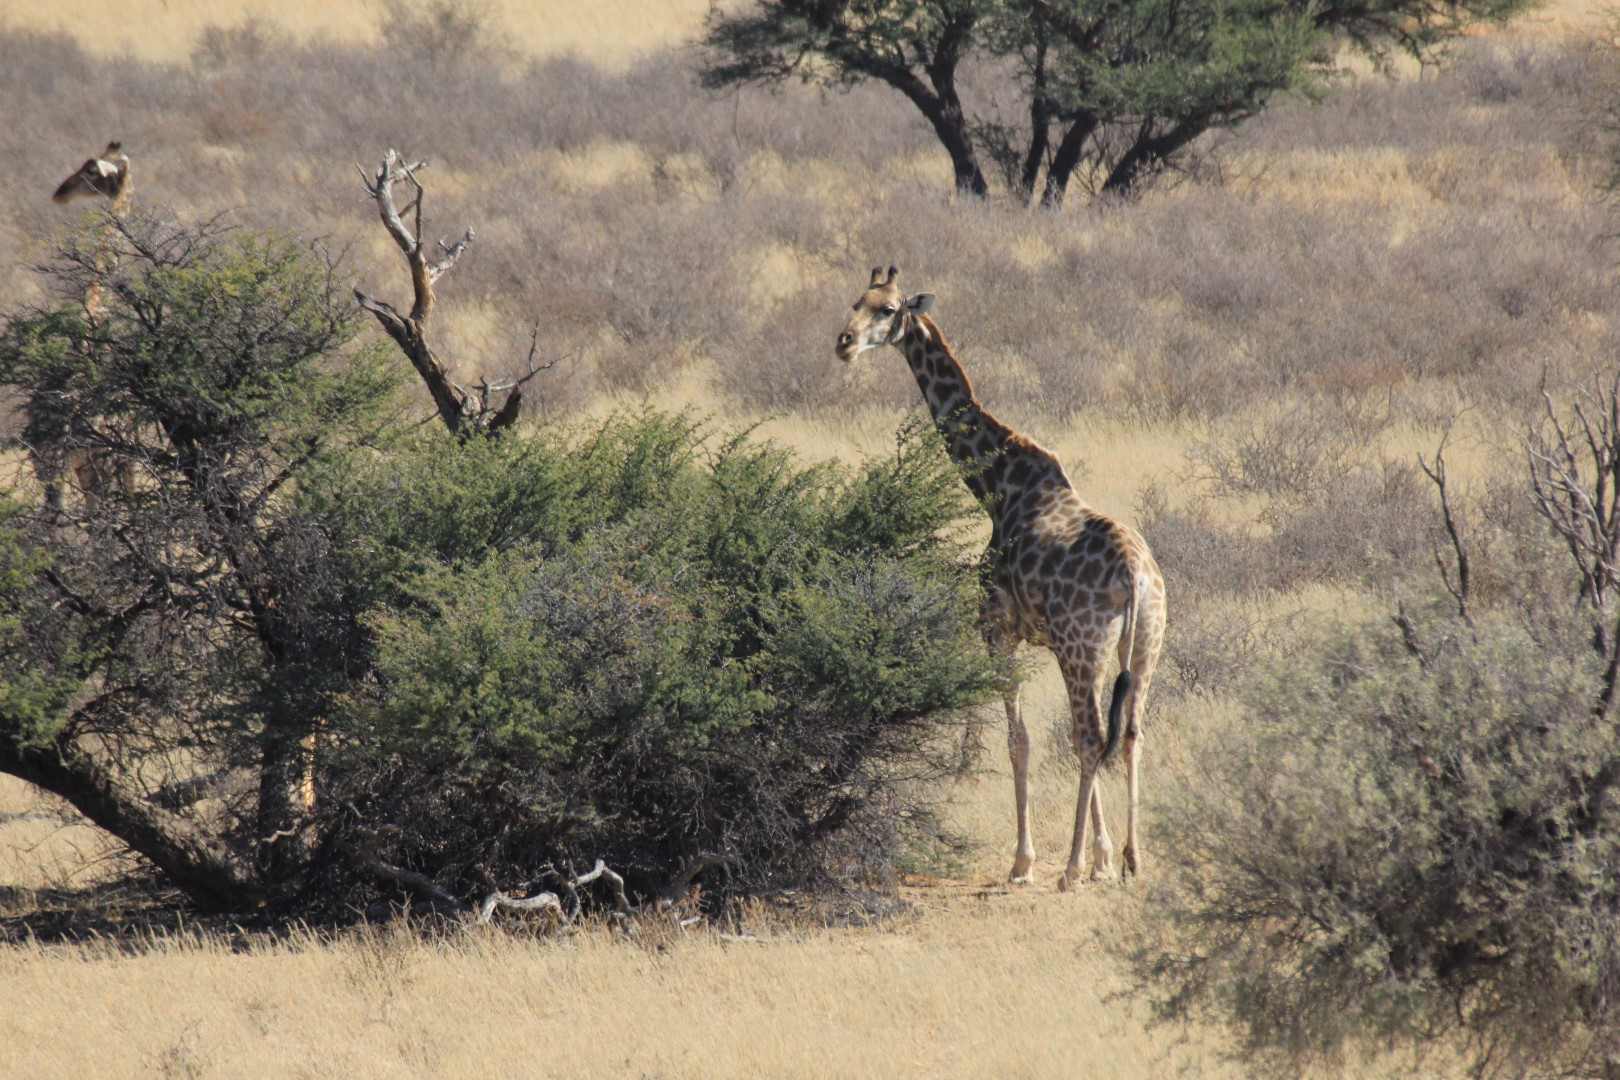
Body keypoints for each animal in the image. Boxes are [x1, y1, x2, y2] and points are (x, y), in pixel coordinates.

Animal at [836, 267, 1166, 889]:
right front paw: (1104, 858)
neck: (996, 485)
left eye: (887, 309)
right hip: (1143, 647)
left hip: (1083, 646)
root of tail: (1138, 577)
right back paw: (1133, 860)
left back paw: (1068, 868)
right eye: (854, 301)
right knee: (1129, 733)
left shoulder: (998, 629)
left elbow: (1019, 740)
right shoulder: (1047, 642)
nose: (842, 343)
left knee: (1092, 735)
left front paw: (1026, 862)